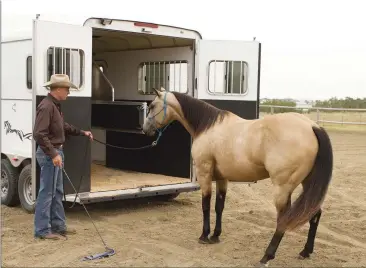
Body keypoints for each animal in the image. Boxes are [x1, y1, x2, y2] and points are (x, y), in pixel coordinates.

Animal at [142, 87, 332, 266]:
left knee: (283, 219)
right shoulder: (222, 178)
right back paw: (305, 252)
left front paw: (204, 236)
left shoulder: (205, 174)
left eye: (152, 106)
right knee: (314, 213)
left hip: (282, 188)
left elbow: (205, 205)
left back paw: (266, 257)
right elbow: (219, 206)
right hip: (308, 184)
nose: (145, 130)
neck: (207, 127)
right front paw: (215, 236)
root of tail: (312, 126)